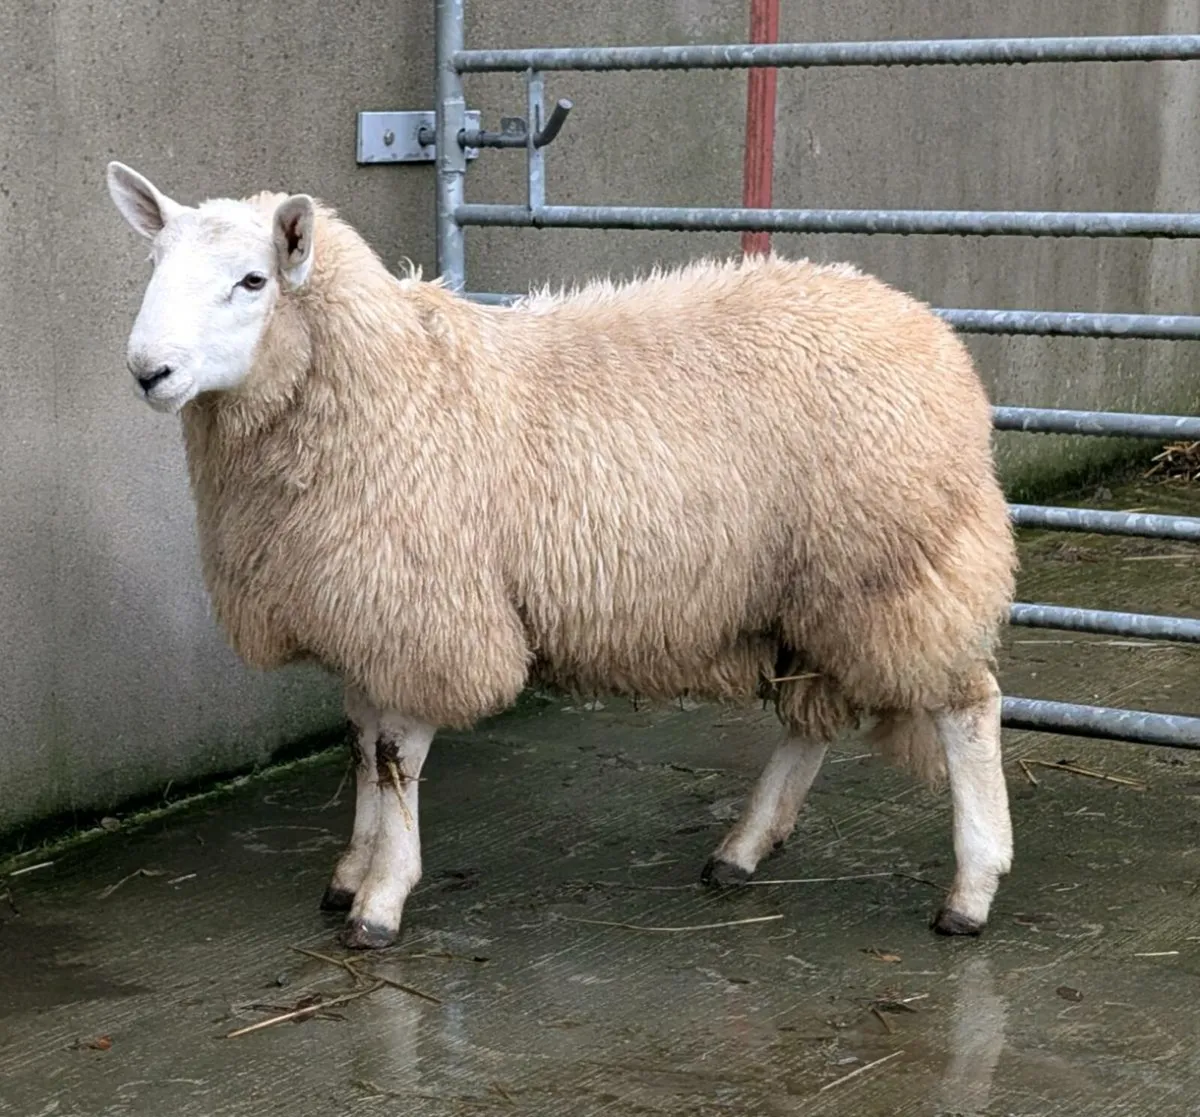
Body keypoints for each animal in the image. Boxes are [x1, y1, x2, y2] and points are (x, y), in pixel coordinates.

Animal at [105, 160, 1018, 951]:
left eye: (253, 281)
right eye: (152, 264)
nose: (147, 371)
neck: (391, 383)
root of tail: (929, 334)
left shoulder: (431, 609)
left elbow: (396, 758)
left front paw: (381, 899)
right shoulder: (363, 610)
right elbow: (363, 746)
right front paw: (350, 872)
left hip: (898, 566)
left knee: (969, 707)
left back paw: (970, 890)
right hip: (818, 585)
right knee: (809, 722)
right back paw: (743, 848)